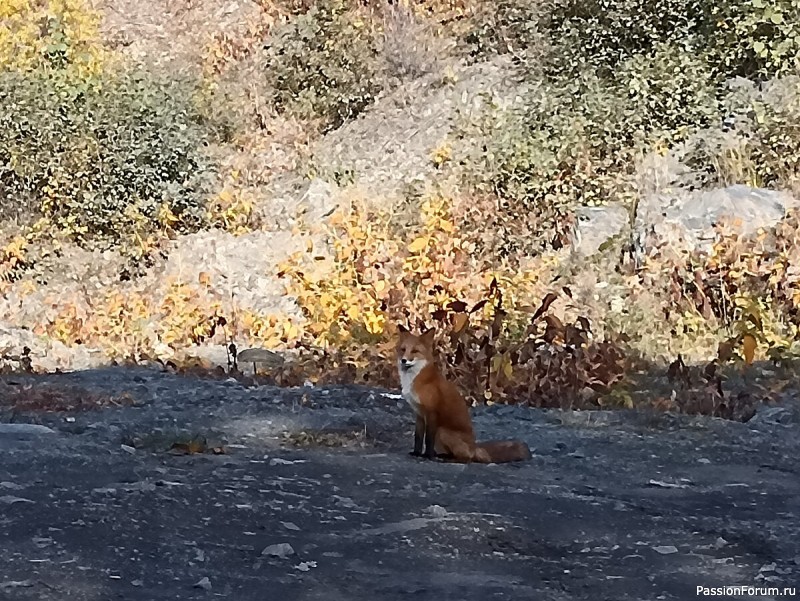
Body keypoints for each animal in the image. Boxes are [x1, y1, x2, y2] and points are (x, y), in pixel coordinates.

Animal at [396, 326, 532, 462]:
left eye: (415, 351)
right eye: (403, 349)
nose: (404, 360)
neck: (414, 380)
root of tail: (474, 447)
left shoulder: (431, 412)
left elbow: (429, 439)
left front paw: (428, 456)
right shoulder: (419, 413)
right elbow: (418, 437)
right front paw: (416, 453)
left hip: (442, 431)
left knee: (465, 458)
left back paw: (448, 459)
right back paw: (442, 456)